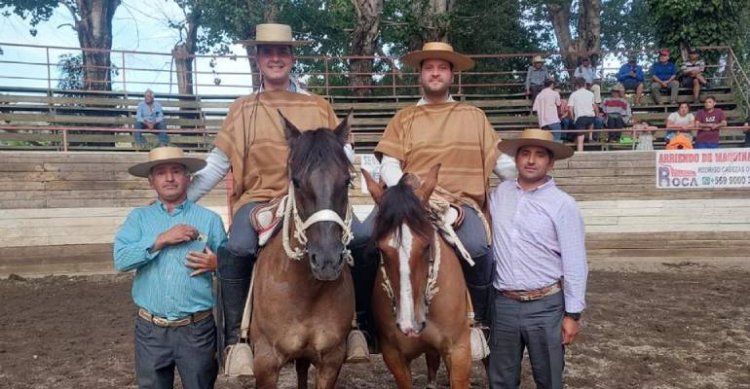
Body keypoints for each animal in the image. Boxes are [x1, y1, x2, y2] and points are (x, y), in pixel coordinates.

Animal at [251, 112, 356, 388]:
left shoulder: (330, 360)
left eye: (347, 181)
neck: (305, 291)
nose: (327, 261)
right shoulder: (265, 362)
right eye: (296, 182)